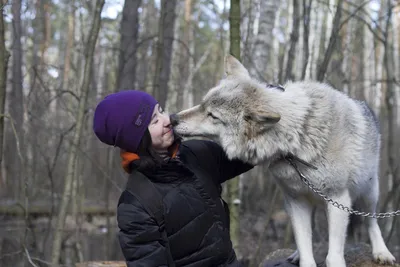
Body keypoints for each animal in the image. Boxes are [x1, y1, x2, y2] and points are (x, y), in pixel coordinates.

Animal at [173, 55, 396, 266]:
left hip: (368, 192)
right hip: (300, 202)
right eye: (202, 104)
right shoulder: (296, 200)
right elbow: (306, 254)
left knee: (372, 222)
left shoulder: (338, 199)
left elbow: (333, 257)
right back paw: (296, 254)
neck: (299, 135)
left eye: (212, 116)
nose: (173, 118)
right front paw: (302, 256)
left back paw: (382, 252)